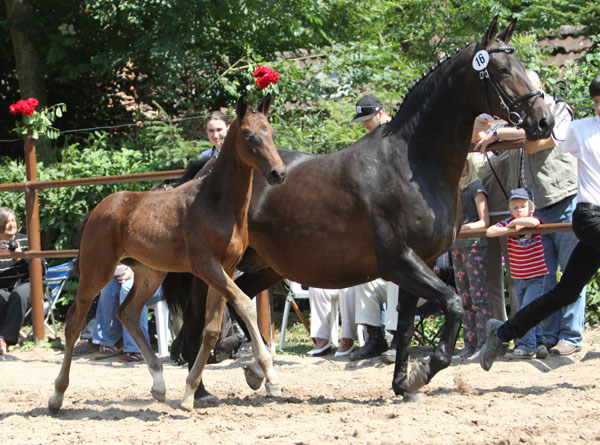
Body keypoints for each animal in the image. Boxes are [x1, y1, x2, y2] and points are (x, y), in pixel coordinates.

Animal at [47, 94, 286, 412]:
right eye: (249, 136)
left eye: (271, 132)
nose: (278, 173)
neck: (216, 203)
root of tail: (97, 210)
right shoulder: (207, 267)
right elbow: (245, 304)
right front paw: (269, 375)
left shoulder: (226, 268)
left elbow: (212, 329)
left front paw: (189, 393)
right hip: (96, 271)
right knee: (74, 322)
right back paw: (57, 395)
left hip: (150, 273)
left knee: (128, 313)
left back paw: (159, 384)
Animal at [169, 17, 552, 398]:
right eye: (502, 69)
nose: (543, 120)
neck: (411, 165)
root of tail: (207, 169)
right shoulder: (399, 261)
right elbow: (453, 305)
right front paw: (424, 372)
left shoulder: (423, 262)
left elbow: (405, 326)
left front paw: (403, 383)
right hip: (213, 269)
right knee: (197, 321)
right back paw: (200, 390)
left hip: (267, 266)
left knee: (240, 300)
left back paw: (253, 372)